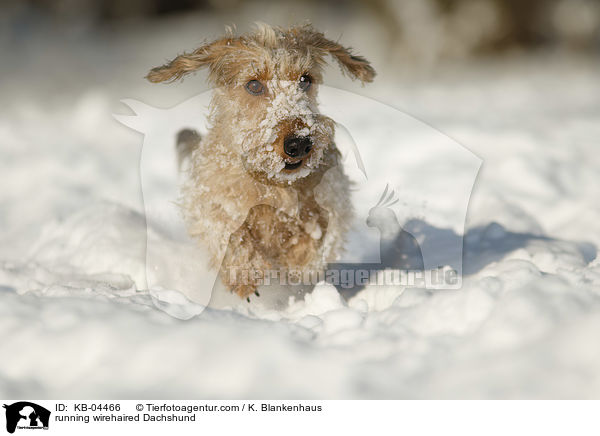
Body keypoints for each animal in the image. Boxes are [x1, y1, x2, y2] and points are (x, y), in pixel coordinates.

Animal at [146, 23, 376, 302]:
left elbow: (317, 238)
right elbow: (230, 234)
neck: (272, 182)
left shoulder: (334, 201)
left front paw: (297, 260)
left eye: (305, 80)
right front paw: (245, 275)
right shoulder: (210, 203)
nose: (299, 143)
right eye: (254, 85)